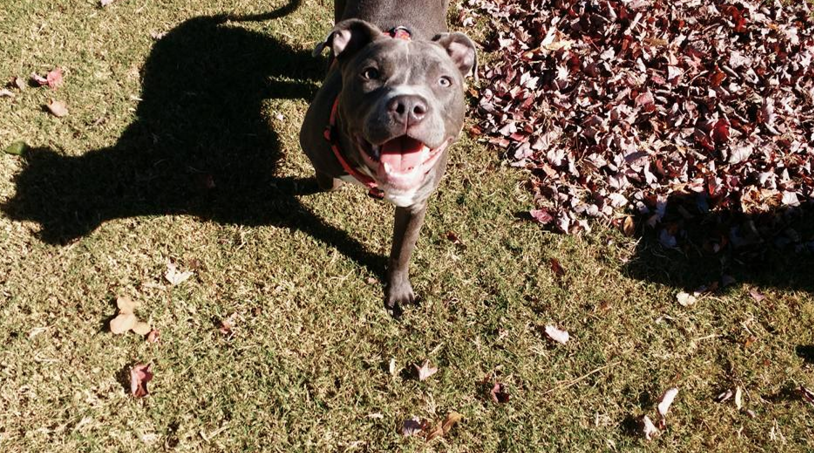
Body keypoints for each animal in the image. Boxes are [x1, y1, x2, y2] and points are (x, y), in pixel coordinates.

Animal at [300, 0, 478, 308]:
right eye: (370, 73)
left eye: (444, 81)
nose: (408, 106)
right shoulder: (314, 147)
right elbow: (327, 180)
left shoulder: (415, 204)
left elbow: (402, 251)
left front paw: (398, 289)